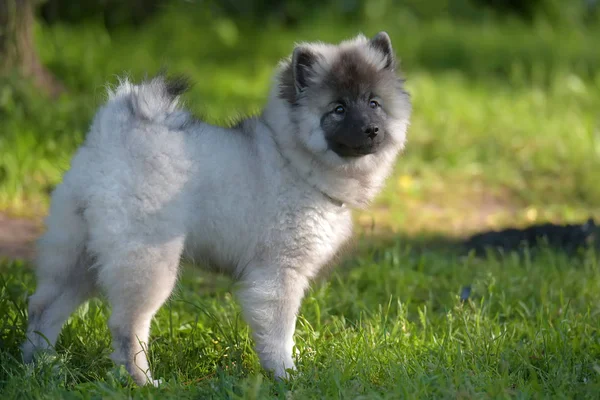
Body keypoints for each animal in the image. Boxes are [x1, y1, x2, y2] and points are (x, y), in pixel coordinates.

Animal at [19, 32, 412, 386]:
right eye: (338, 109)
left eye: (373, 103)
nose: (371, 129)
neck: (295, 159)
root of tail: (110, 139)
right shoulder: (278, 275)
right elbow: (279, 333)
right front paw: (285, 375)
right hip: (147, 262)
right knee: (126, 324)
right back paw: (142, 382)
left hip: (79, 254)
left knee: (43, 306)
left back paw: (41, 365)